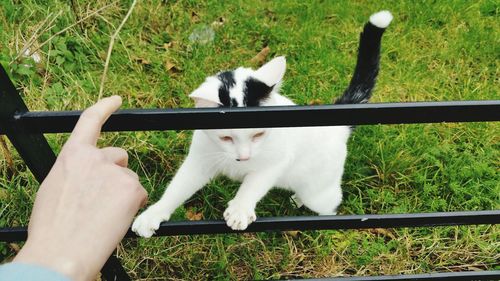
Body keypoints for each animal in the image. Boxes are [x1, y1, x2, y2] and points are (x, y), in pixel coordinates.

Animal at [134, 10, 394, 235]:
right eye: (225, 137)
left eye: (258, 135)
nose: (244, 157)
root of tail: (336, 127)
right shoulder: (200, 159)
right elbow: (178, 187)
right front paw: (153, 214)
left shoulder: (277, 161)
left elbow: (255, 182)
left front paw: (240, 208)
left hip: (320, 190)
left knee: (329, 203)